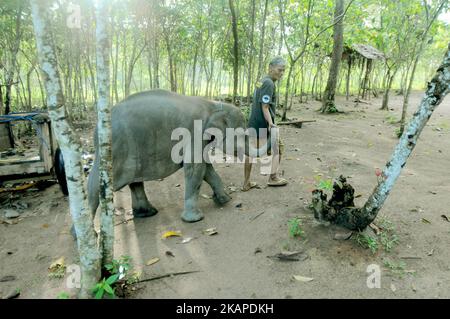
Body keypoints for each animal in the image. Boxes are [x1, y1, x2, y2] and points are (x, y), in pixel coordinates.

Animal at [89, 89, 270, 224]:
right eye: (243, 134)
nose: (272, 125)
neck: (212, 104)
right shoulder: (195, 132)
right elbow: (196, 168)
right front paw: (195, 219)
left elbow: (206, 168)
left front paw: (225, 200)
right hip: (115, 151)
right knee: (96, 184)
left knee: (135, 182)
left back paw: (148, 213)